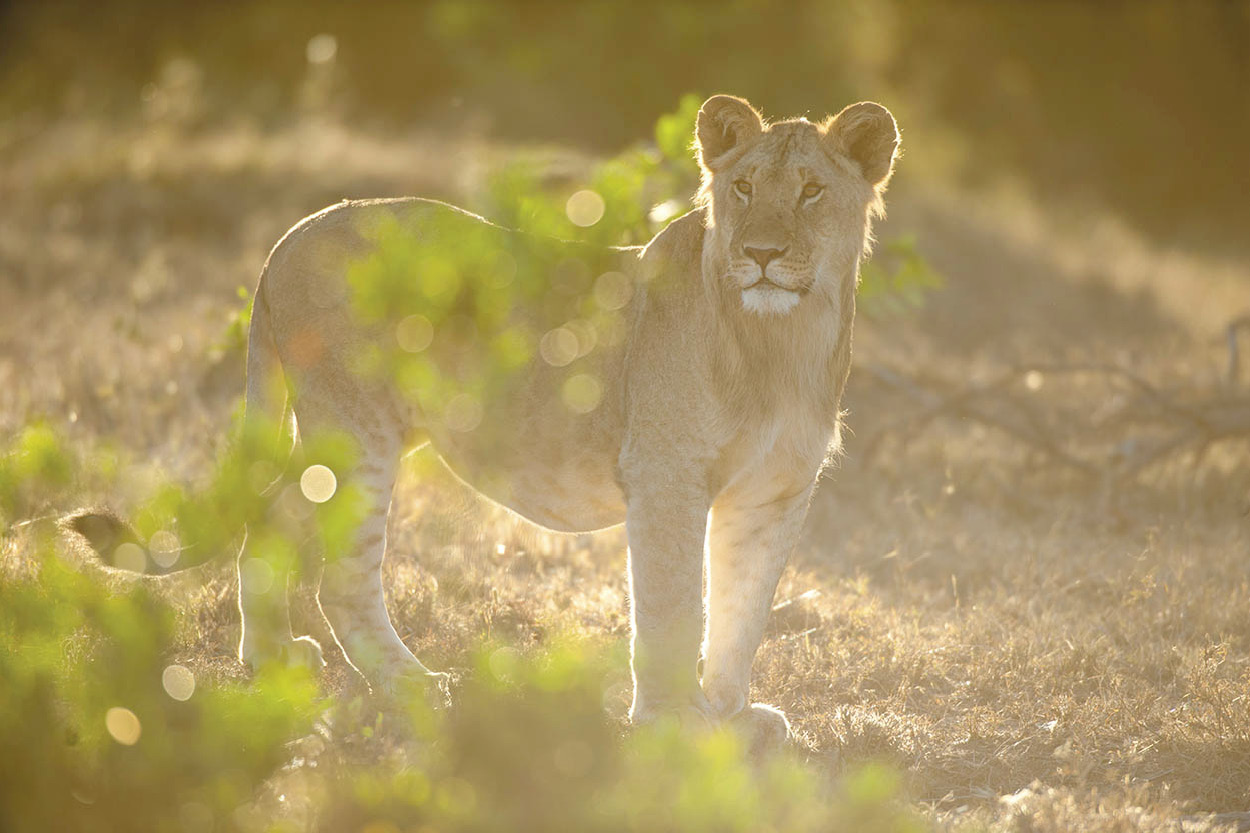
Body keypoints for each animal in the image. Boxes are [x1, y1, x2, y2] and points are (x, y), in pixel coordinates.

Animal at [70, 95, 900, 740]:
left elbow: (741, 607)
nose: (759, 253)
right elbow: (672, 603)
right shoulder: (665, 475)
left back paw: (271, 658)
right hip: (358, 431)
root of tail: (287, 239)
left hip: (335, 436)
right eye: (745, 186)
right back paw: (416, 685)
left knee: (268, 520)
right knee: (343, 578)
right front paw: (673, 721)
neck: (780, 342)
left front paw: (729, 710)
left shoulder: (775, 493)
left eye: (812, 191)